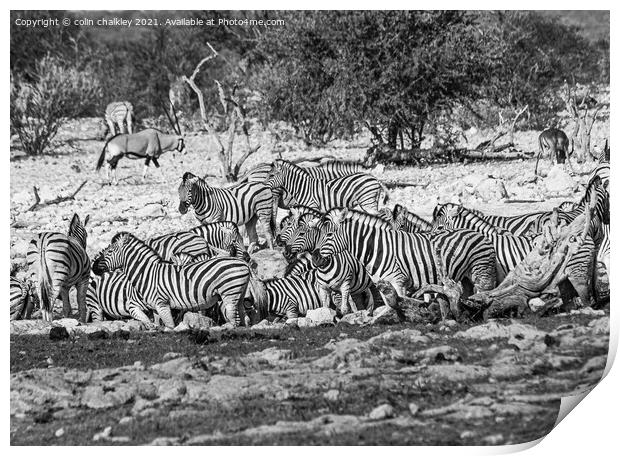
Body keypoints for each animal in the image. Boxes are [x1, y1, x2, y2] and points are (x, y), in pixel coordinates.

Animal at [91, 233, 251, 326]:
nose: (93, 267)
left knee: (233, 317)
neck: (147, 273)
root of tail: (244, 264)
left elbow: (170, 325)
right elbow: (158, 325)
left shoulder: (162, 303)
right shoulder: (154, 308)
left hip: (229, 293)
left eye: (110, 251)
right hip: (240, 294)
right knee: (243, 317)